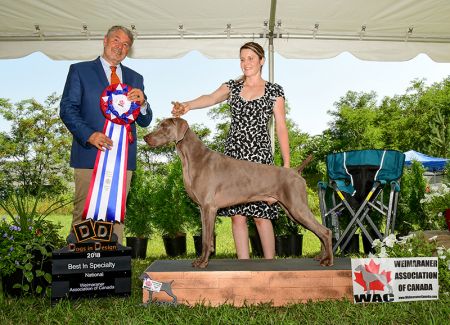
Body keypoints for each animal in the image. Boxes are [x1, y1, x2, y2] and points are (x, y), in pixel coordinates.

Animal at [142, 117, 332, 268]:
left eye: (164, 126)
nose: (145, 137)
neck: (192, 158)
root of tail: (295, 171)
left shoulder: (209, 207)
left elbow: (206, 239)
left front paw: (203, 263)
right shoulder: (203, 209)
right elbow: (204, 237)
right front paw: (200, 260)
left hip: (297, 207)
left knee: (325, 231)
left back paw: (328, 260)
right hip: (292, 209)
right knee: (319, 232)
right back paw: (321, 257)